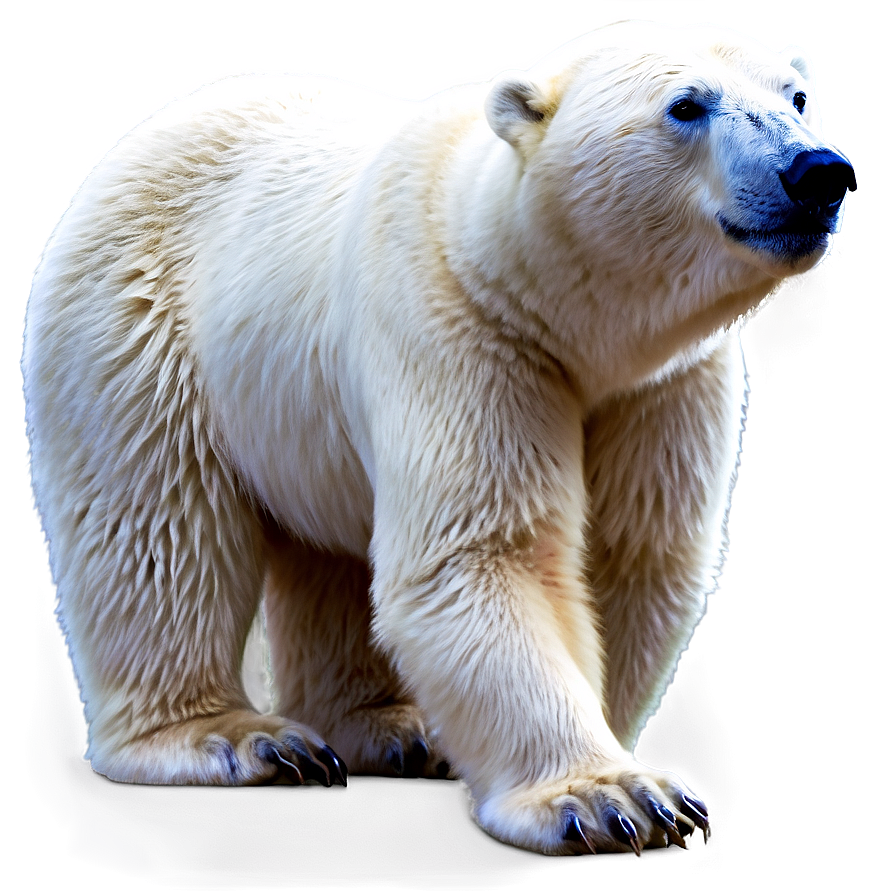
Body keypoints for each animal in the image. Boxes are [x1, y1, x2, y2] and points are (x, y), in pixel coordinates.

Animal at [21, 19, 854, 855]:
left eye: (796, 96)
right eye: (686, 104)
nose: (818, 172)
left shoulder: (663, 382)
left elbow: (633, 554)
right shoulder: (456, 325)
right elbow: (483, 554)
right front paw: (612, 797)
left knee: (328, 554)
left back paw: (386, 727)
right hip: (136, 322)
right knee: (157, 533)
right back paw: (233, 737)